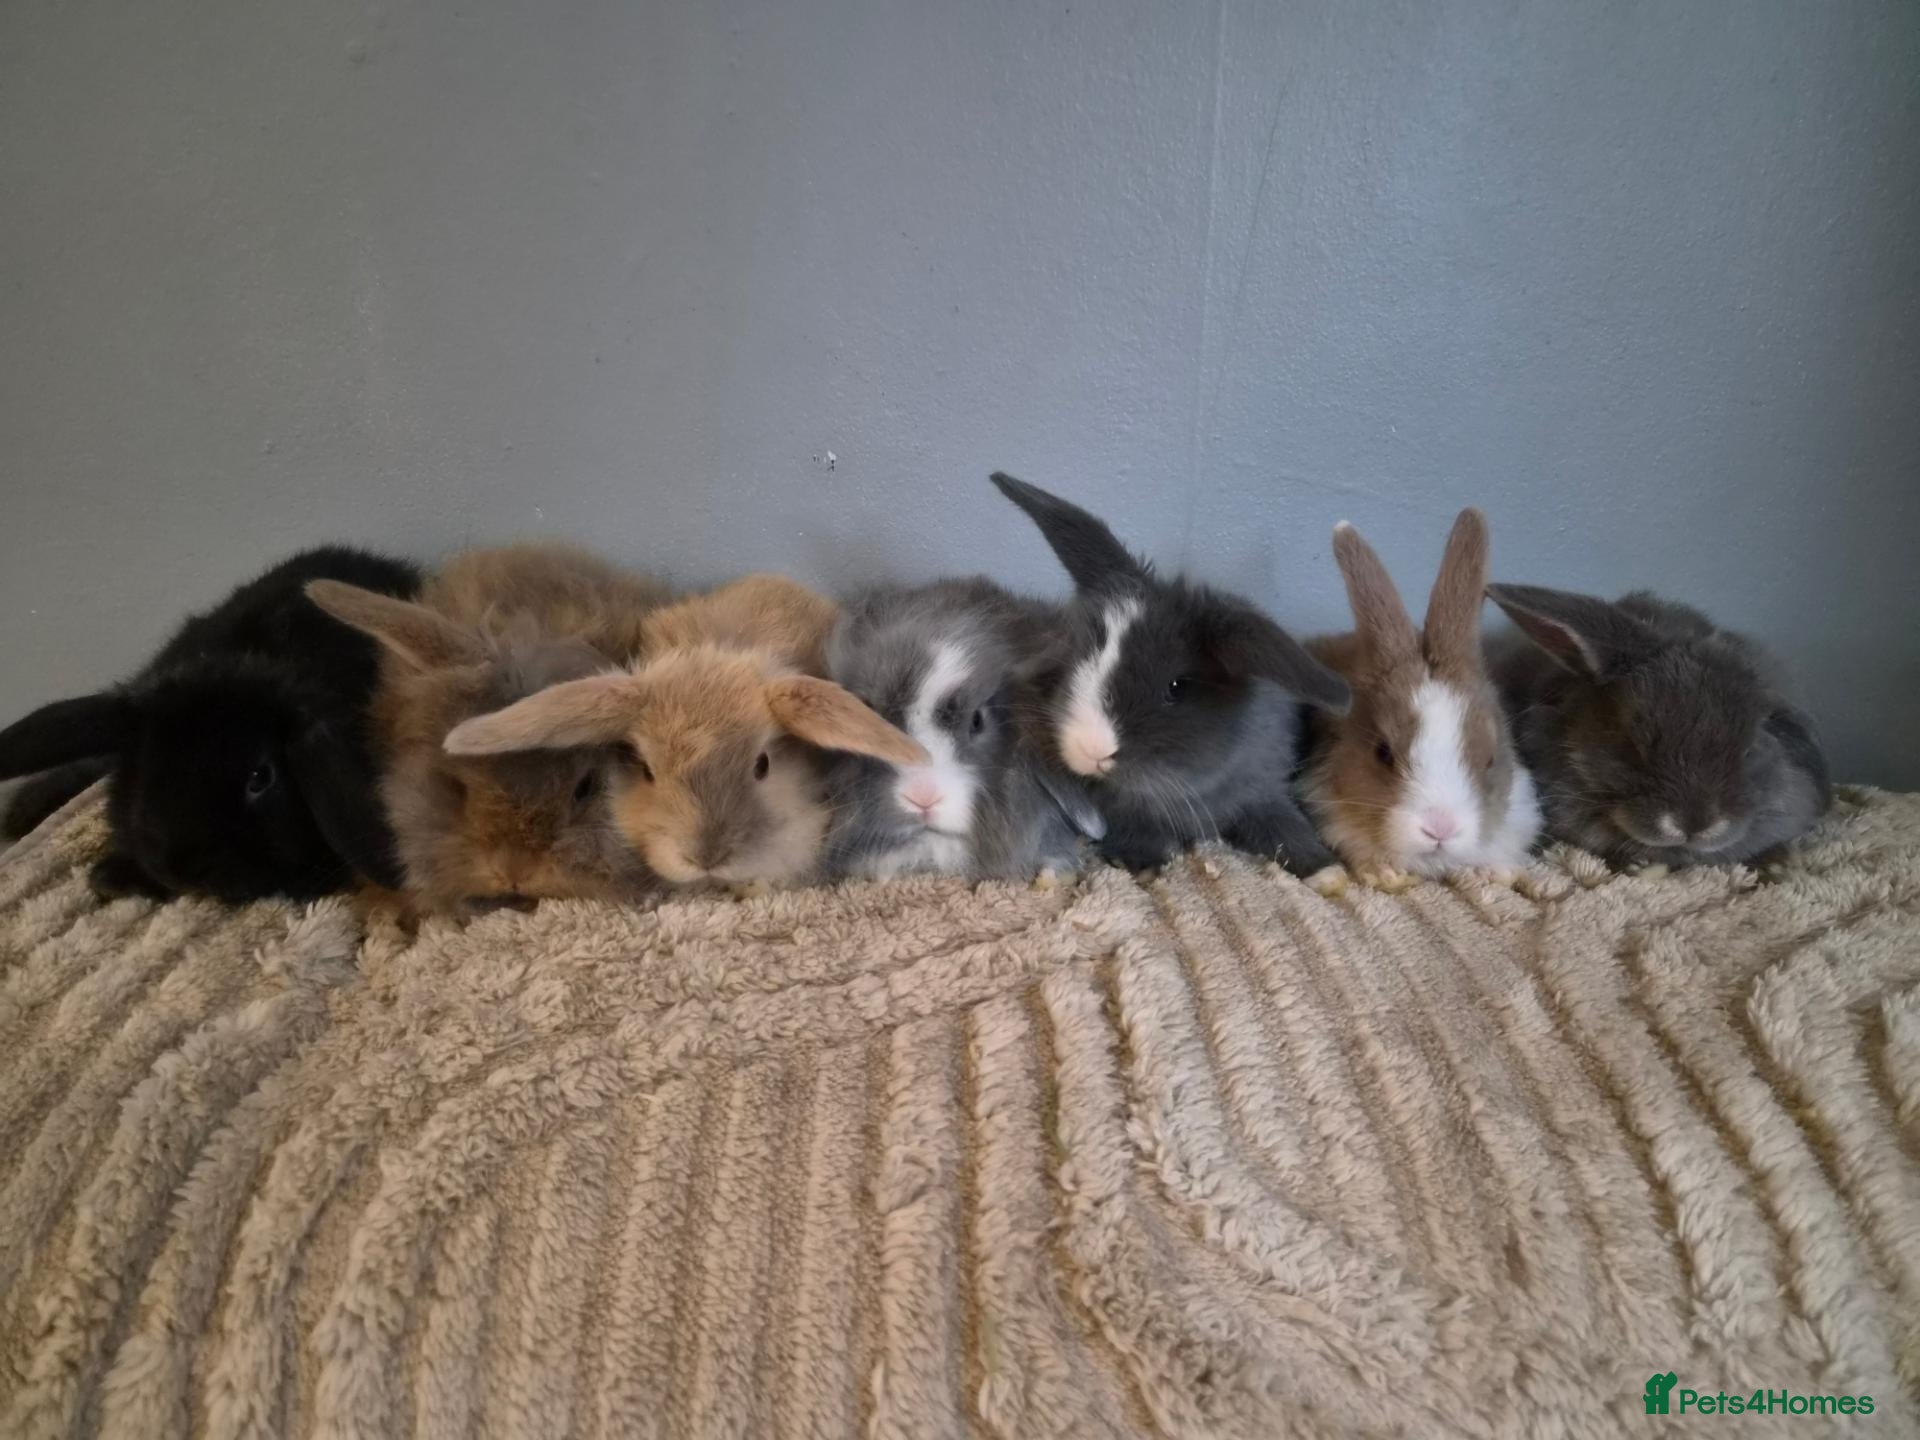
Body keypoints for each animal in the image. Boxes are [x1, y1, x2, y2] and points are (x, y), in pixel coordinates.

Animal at [989, 473, 1350, 875]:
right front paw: (1144, 861)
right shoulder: (1121, 809)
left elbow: (1283, 824)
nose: (1090, 748)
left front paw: (1327, 870)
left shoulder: (1264, 786)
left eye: (1176, 687)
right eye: (1081, 655)